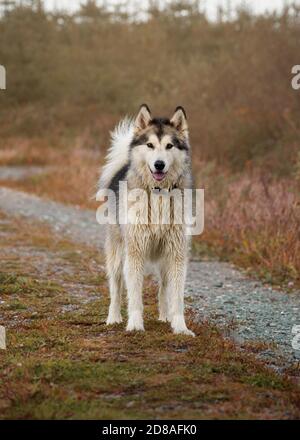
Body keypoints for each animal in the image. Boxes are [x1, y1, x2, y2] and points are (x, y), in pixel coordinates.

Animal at [98, 105, 195, 336]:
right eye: (150, 145)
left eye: (169, 145)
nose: (159, 164)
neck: (158, 194)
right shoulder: (135, 253)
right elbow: (134, 296)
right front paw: (134, 325)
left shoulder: (176, 253)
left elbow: (177, 297)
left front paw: (180, 327)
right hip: (117, 254)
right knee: (116, 288)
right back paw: (113, 318)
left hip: (164, 260)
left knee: (163, 287)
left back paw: (164, 316)